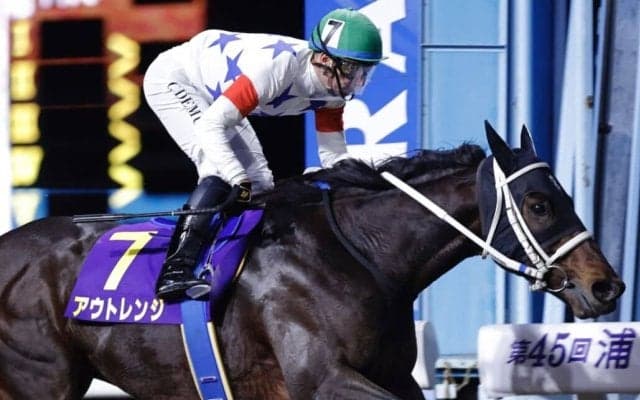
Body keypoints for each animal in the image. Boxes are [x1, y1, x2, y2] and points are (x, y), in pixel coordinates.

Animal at [0, 122, 625, 400]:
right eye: (539, 204)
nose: (606, 287)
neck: (361, 255)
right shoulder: (319, 378)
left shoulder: (395, 377)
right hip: (42, 379)